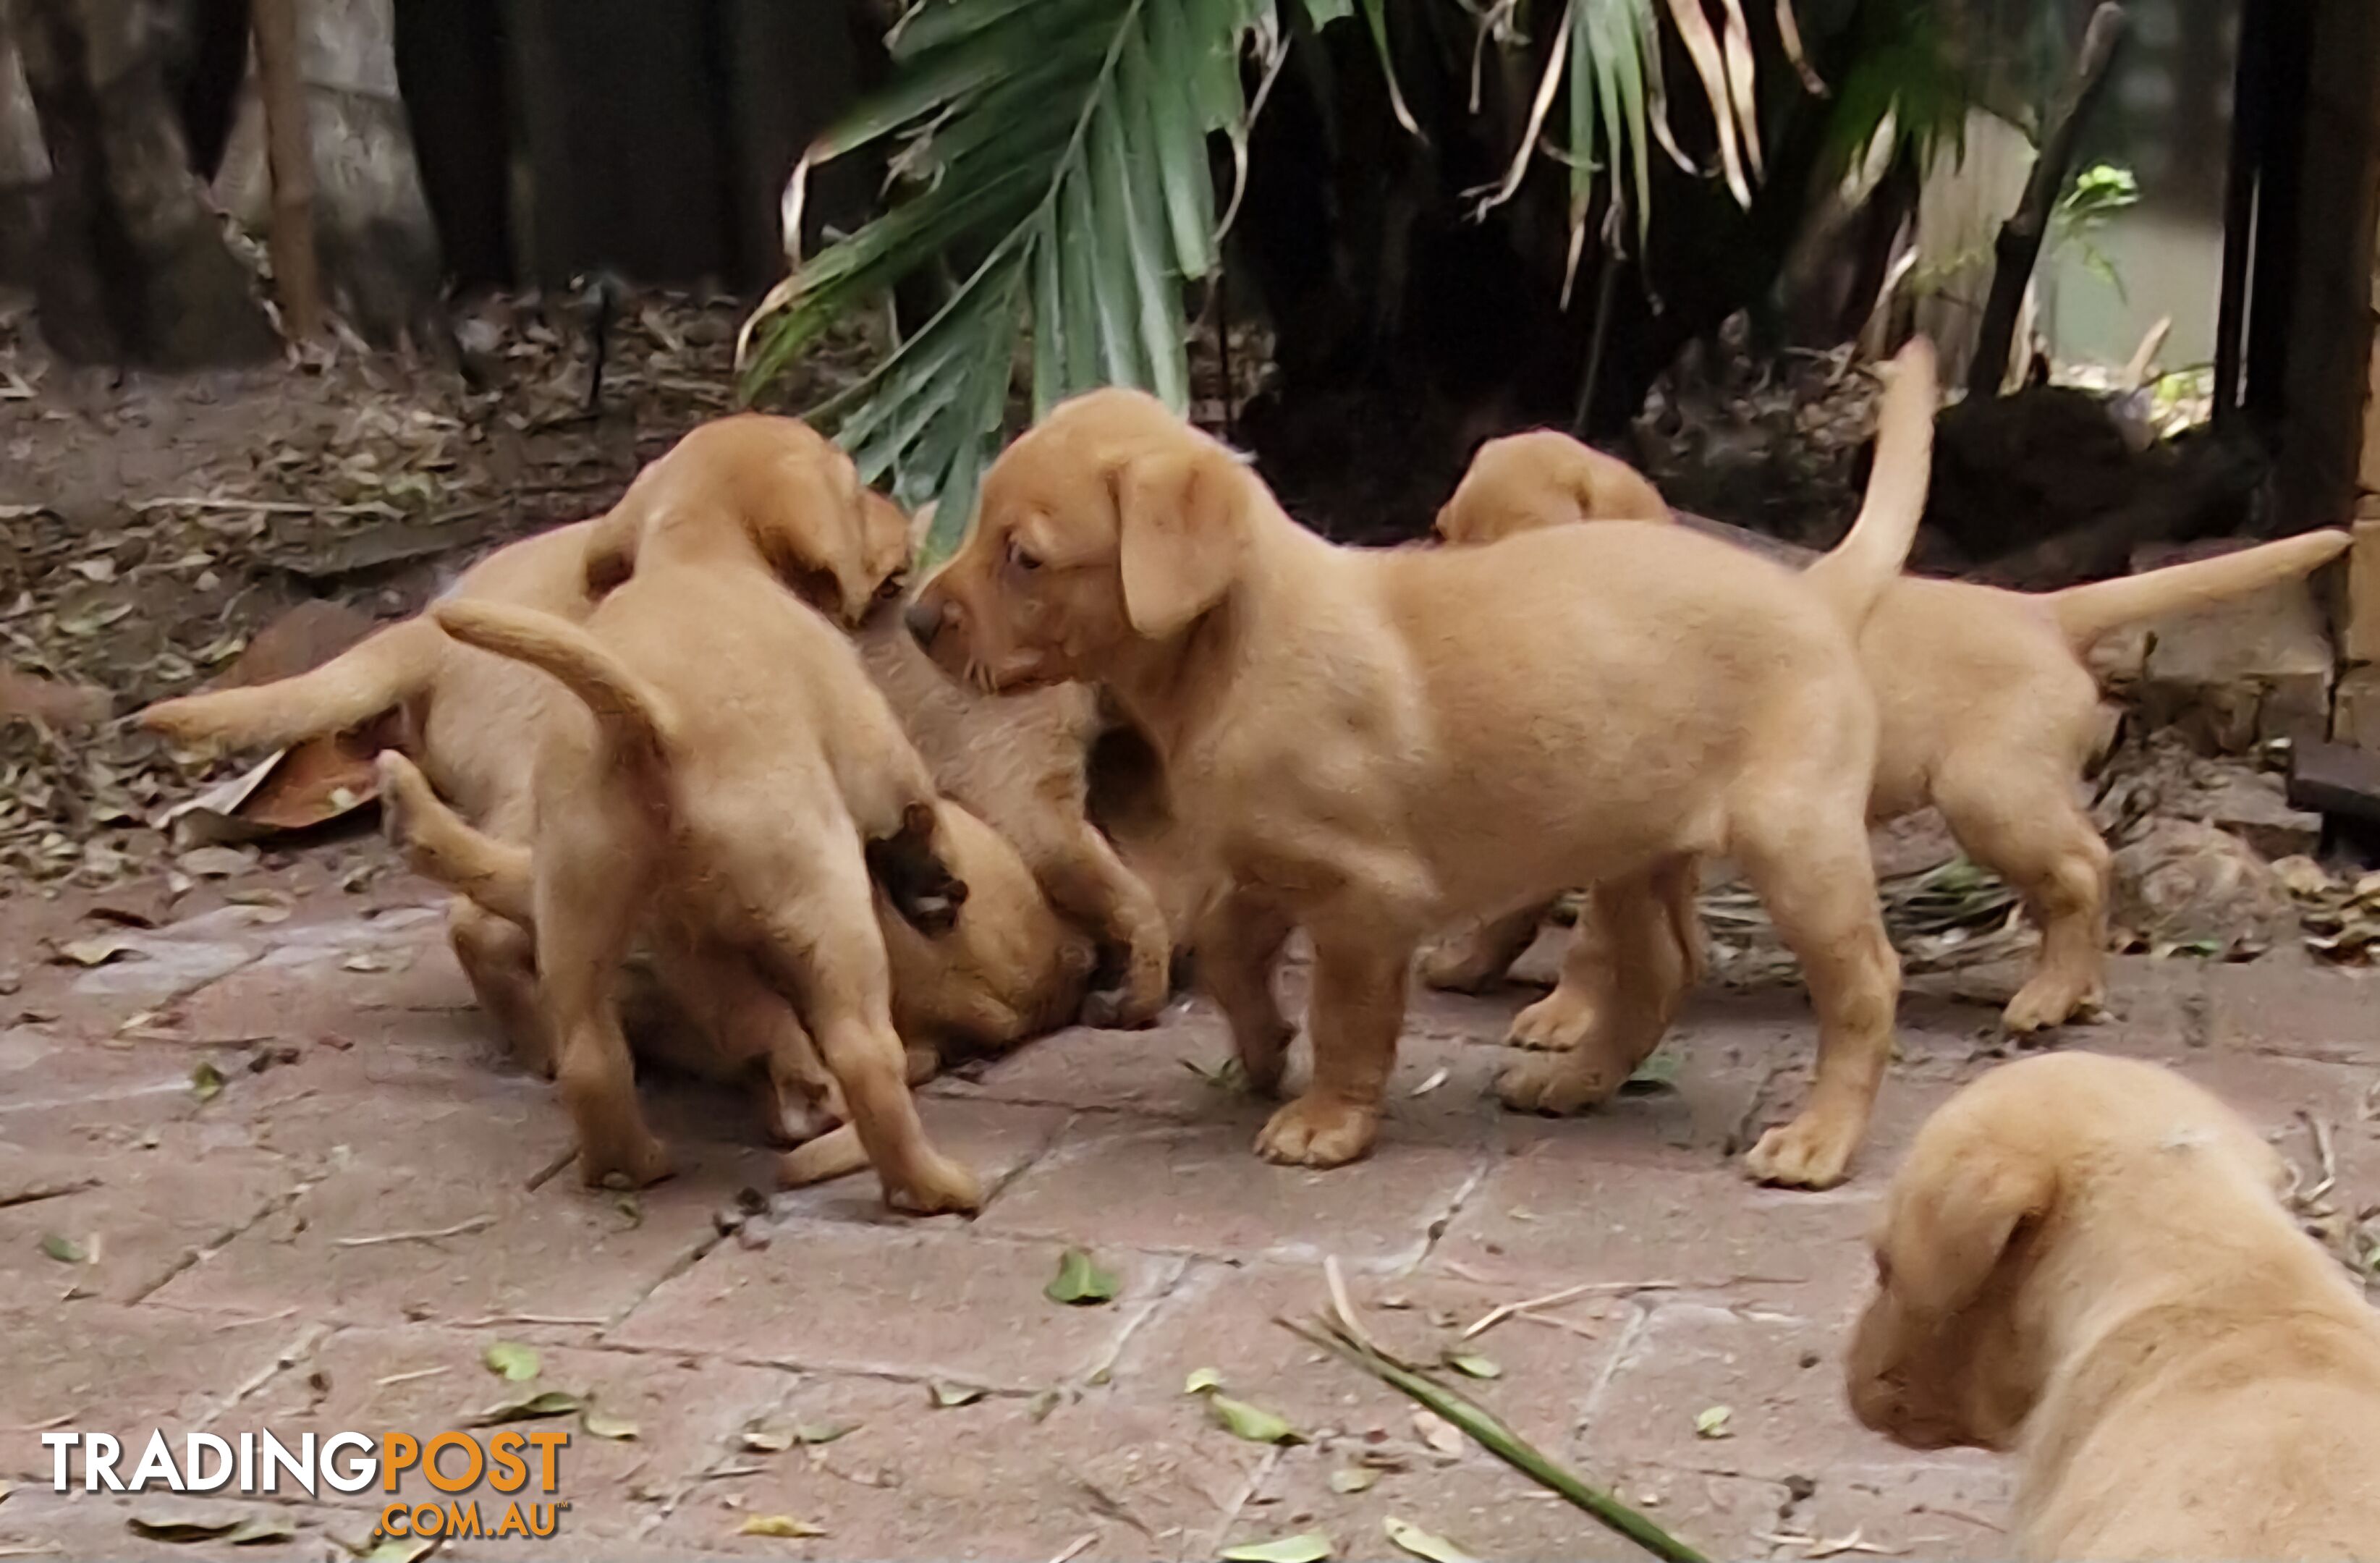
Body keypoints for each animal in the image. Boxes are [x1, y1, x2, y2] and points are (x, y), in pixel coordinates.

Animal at [899, 335, 1941, 1175]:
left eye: (1024, 557)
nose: (910, 620)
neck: (1238, 649)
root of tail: (1810, 591)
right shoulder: (1273, 866)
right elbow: (1232, 954)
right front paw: (1265, 1050)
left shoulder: (1366, 898)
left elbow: (1348, 1018)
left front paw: (1326, 1122)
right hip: (1638, 850)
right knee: (1660, 971)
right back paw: (1575, 1084)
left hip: (1795, 843)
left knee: (1863, 987)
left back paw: (1818, 1143)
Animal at [1418, 420, 2351, 1032]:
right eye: (1443, 532)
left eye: (1520, 551)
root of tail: (2044, 611)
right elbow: (1522, 904)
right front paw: (1469, 967)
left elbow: (1596, 937)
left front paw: (1565, 1017)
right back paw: (2076, 989)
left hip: (1990, 795)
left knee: (2085, 869)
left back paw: (2048, 998)